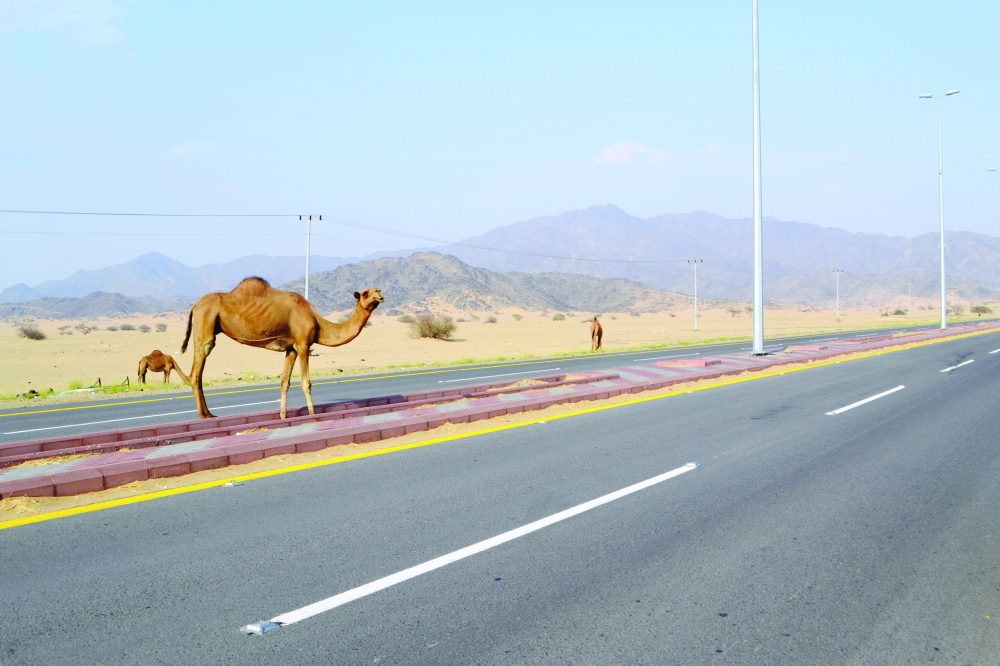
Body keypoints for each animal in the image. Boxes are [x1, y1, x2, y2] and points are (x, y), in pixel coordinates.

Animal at [180, 274, 382, 416]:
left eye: (376, 290)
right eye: (365, 293)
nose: (380, 294)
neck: (318, 323)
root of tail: (195, 305)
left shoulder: (291, 348)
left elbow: (284, 382)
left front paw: (283, 415)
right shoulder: (303, 344)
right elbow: (306, 382)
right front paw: (312, 413)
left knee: (197, 374)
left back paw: (209, 413)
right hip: (205, 322)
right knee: (196, 371)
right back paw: (205, 415)